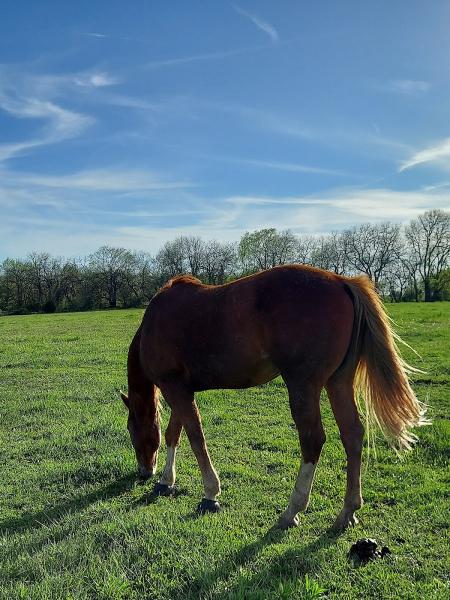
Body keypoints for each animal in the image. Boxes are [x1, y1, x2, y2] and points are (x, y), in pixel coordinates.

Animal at [120, 264, 426, 528]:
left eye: (132, 430)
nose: (144, 472)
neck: (155, 321)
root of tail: (341, 281)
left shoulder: (175, 389)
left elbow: (195, 438)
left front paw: (210, 493)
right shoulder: (181, 390)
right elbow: (175, 433)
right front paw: (166, 481)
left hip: (303, 386)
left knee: (312, 440)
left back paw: (292, 510)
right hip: (338, 382)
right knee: (352, 435)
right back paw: (347, 511)